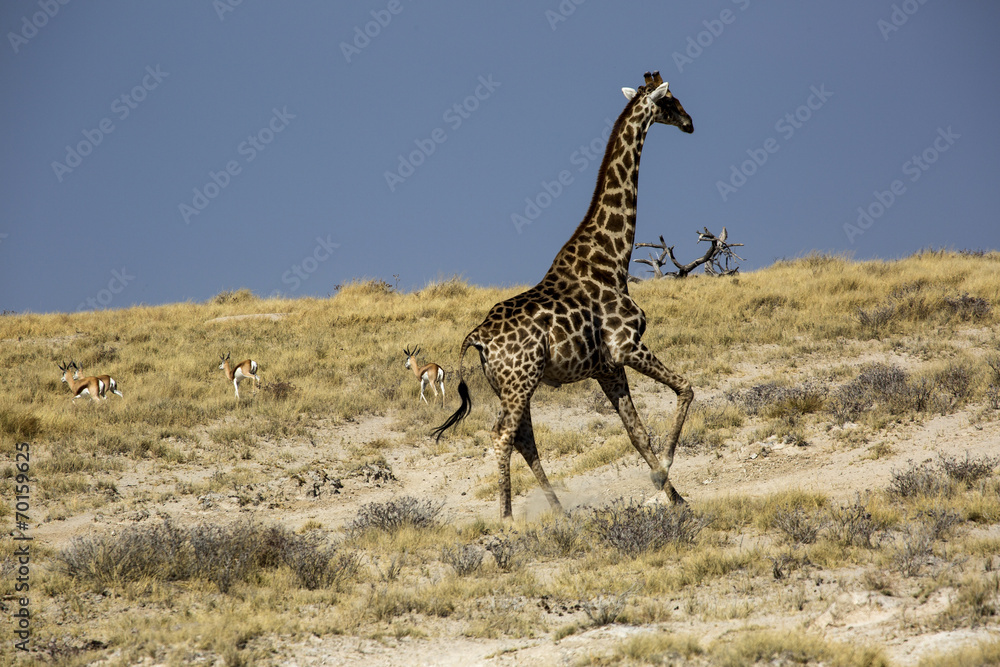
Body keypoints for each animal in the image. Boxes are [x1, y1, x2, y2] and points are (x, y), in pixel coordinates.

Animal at [433, 71, 695, 519]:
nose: (690, 123)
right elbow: (686, 389)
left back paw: (559, 513)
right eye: (670, 100)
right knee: (502, 435)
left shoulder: (608, 367)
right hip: (521, 380)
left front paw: (672, 495)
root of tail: (476, 338)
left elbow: (637, 433)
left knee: (523, 439)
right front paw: (665, 477)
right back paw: (507, 519)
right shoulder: (628, 346)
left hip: (512, 384)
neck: (613, 255)